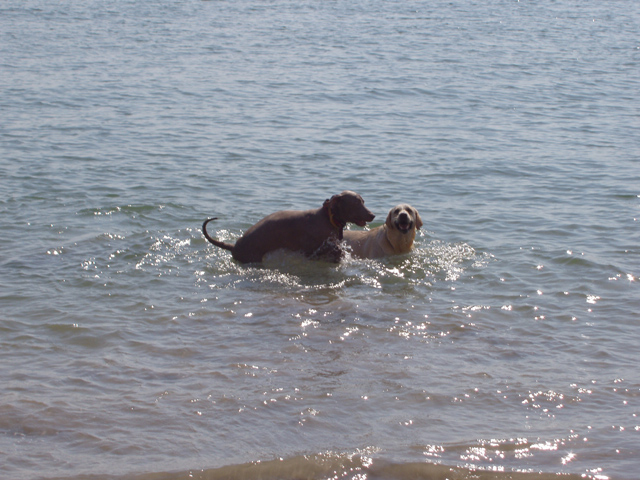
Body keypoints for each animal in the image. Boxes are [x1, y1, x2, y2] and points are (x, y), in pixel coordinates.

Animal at [202, 191, 376, 264]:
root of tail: (234, 246)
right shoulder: (310, 249)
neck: (327, 218)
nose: (373, 215)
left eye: (363, 201)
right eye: (356, 203)